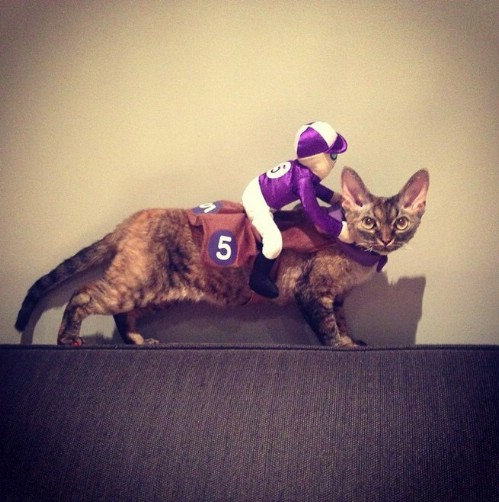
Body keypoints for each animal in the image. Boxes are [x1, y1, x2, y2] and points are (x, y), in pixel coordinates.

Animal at [15, 167, 430, 348]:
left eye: (402, 222)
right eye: (370, 222)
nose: (387, 239)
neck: (358, 262)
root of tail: (133, 218)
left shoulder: (338, 296)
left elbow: (341, 321)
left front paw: (352, 340)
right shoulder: (314, 292)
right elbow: (327, 326)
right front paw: (342, 345)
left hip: (158, 292)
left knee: (122, 314)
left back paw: (137, 340)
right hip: (136, 283)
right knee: (83, 294)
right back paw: (67, 339)